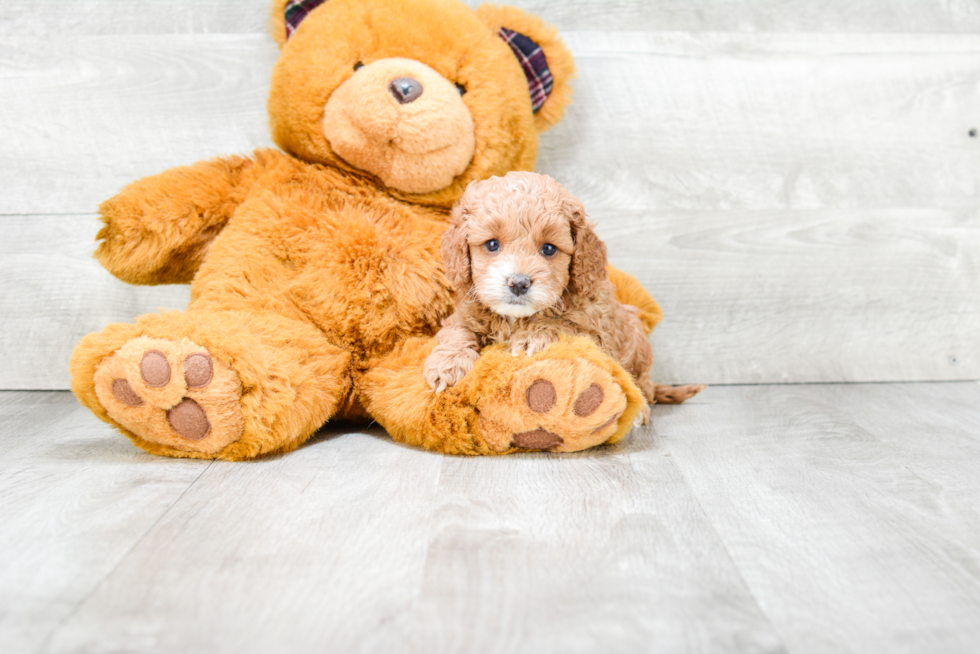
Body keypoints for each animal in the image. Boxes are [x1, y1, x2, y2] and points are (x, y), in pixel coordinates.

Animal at [424, 172, 700, 422]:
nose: (519, 283)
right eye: (492, 244)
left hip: (637, 340)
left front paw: (532, 336)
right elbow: (457, 332)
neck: (516, 319)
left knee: (643, 385)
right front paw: (446, 366)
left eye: (548, 249)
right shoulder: (465, 314)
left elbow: (563, 324)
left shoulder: (595, 331)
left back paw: (640, 409)